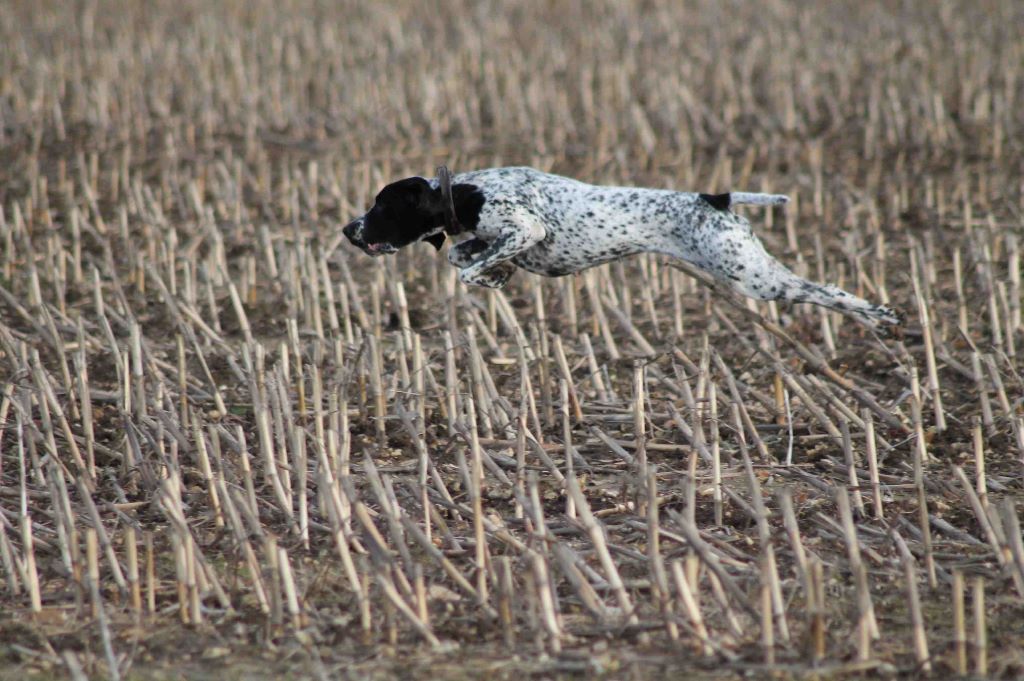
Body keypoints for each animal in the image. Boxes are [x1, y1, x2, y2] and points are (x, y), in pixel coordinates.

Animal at [346, 166, 905, 331]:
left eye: (380, 205)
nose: (349, 230)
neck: (466, 191)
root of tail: (714, 199)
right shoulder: (500, 238)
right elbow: (463, 255)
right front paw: (496, 274)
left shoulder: (527, 228)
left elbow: (466, 265)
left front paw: (488, 275)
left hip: (753, 277)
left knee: (825, 290)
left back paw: (880, 315)